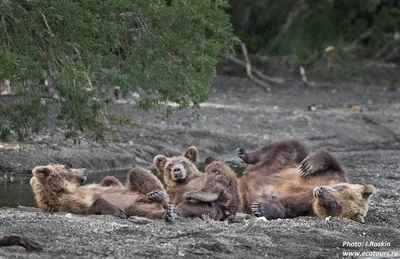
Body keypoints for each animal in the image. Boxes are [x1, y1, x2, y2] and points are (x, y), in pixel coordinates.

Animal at [30, 166, 174, 222]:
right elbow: (88, 207)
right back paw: (167, 214)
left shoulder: (89, 188)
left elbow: (110, 181)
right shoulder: (65, 202)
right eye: (67, 167)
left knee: (135, 171)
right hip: (137, 208)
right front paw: (117, 211)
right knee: (144, 211)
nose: (85, 169)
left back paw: (158, 195)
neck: (67, 189)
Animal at [236, 140, 376, 223]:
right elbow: (330, 160)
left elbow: (287, 207)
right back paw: (245, 154)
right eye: (340, 189)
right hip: (282, 163)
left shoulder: (306, 207)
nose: (319, 191)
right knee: (289, 148)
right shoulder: (335, 174)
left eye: (336, 205)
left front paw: (261, 208)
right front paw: (309, 165)